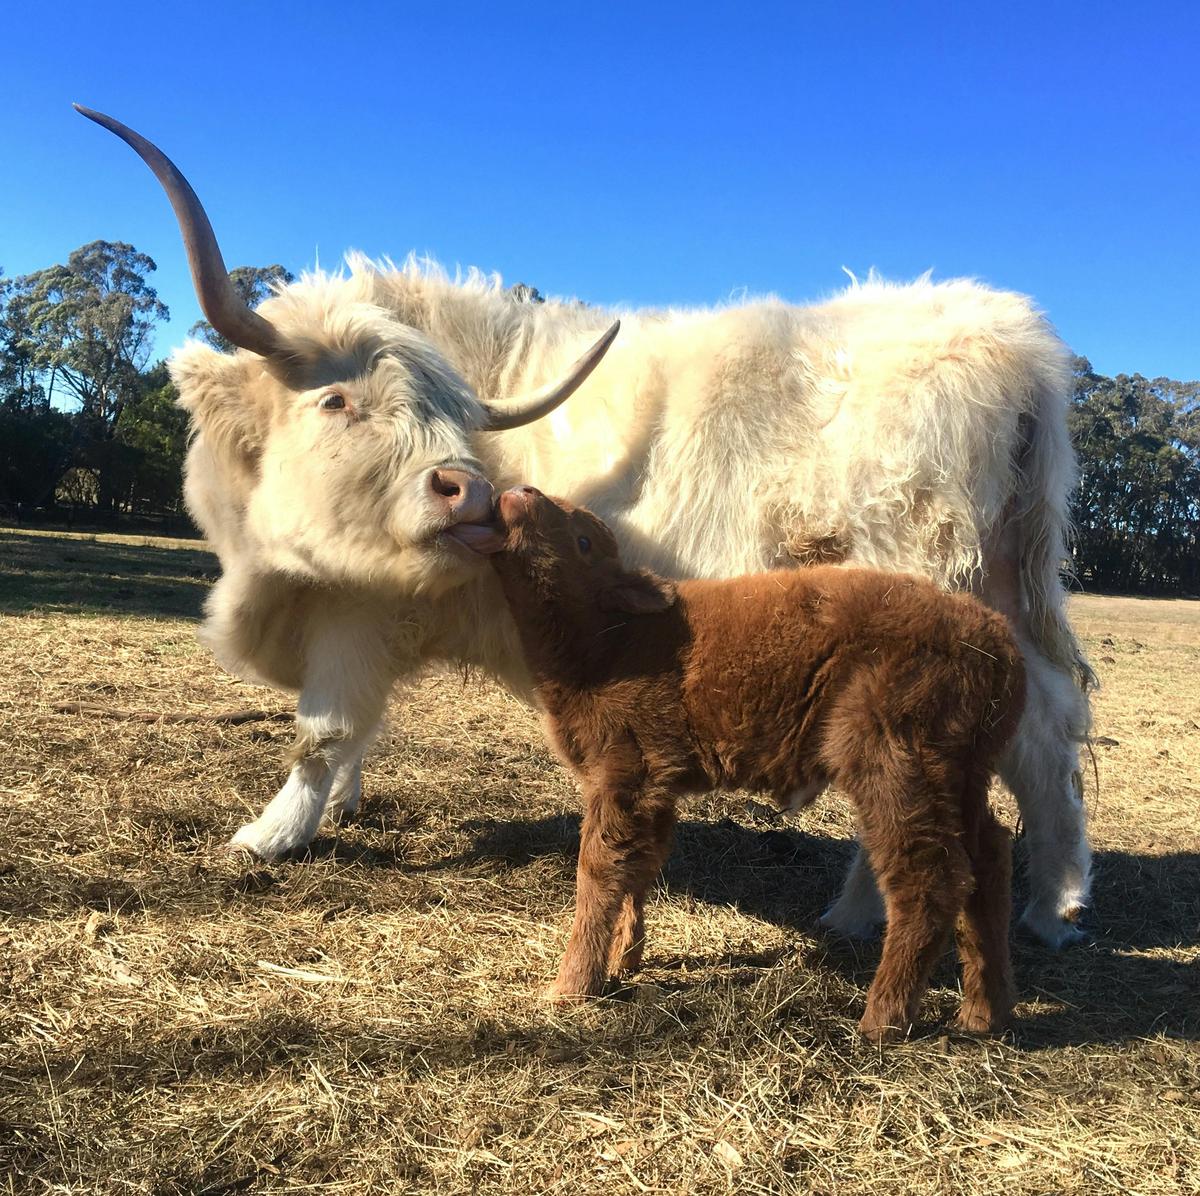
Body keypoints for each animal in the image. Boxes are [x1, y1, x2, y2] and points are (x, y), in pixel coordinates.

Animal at [76, 105, 1094, 949]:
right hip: (1001, 594)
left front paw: (270, 834)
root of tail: (1012, 342)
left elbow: (321, 731)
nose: (470, 494)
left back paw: (855, 914)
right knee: (1047, 730)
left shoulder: (355, 613)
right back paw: (1055, 908)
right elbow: (358, 731)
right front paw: (347, 807)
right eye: (338, 399)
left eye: (441, 411)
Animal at [483, 487, 1025, 1041]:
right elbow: (640, 865)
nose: (521, 492)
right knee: (988, 860)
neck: (609, 640)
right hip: (960, 774)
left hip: (895, 762)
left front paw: (572, 985)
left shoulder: (624, 775)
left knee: (930, 877)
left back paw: (882, 1018)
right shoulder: (653, 788)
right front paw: (623, 958)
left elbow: (598, 870)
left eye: (583, 541)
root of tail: (996, 643)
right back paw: (984, 1011)